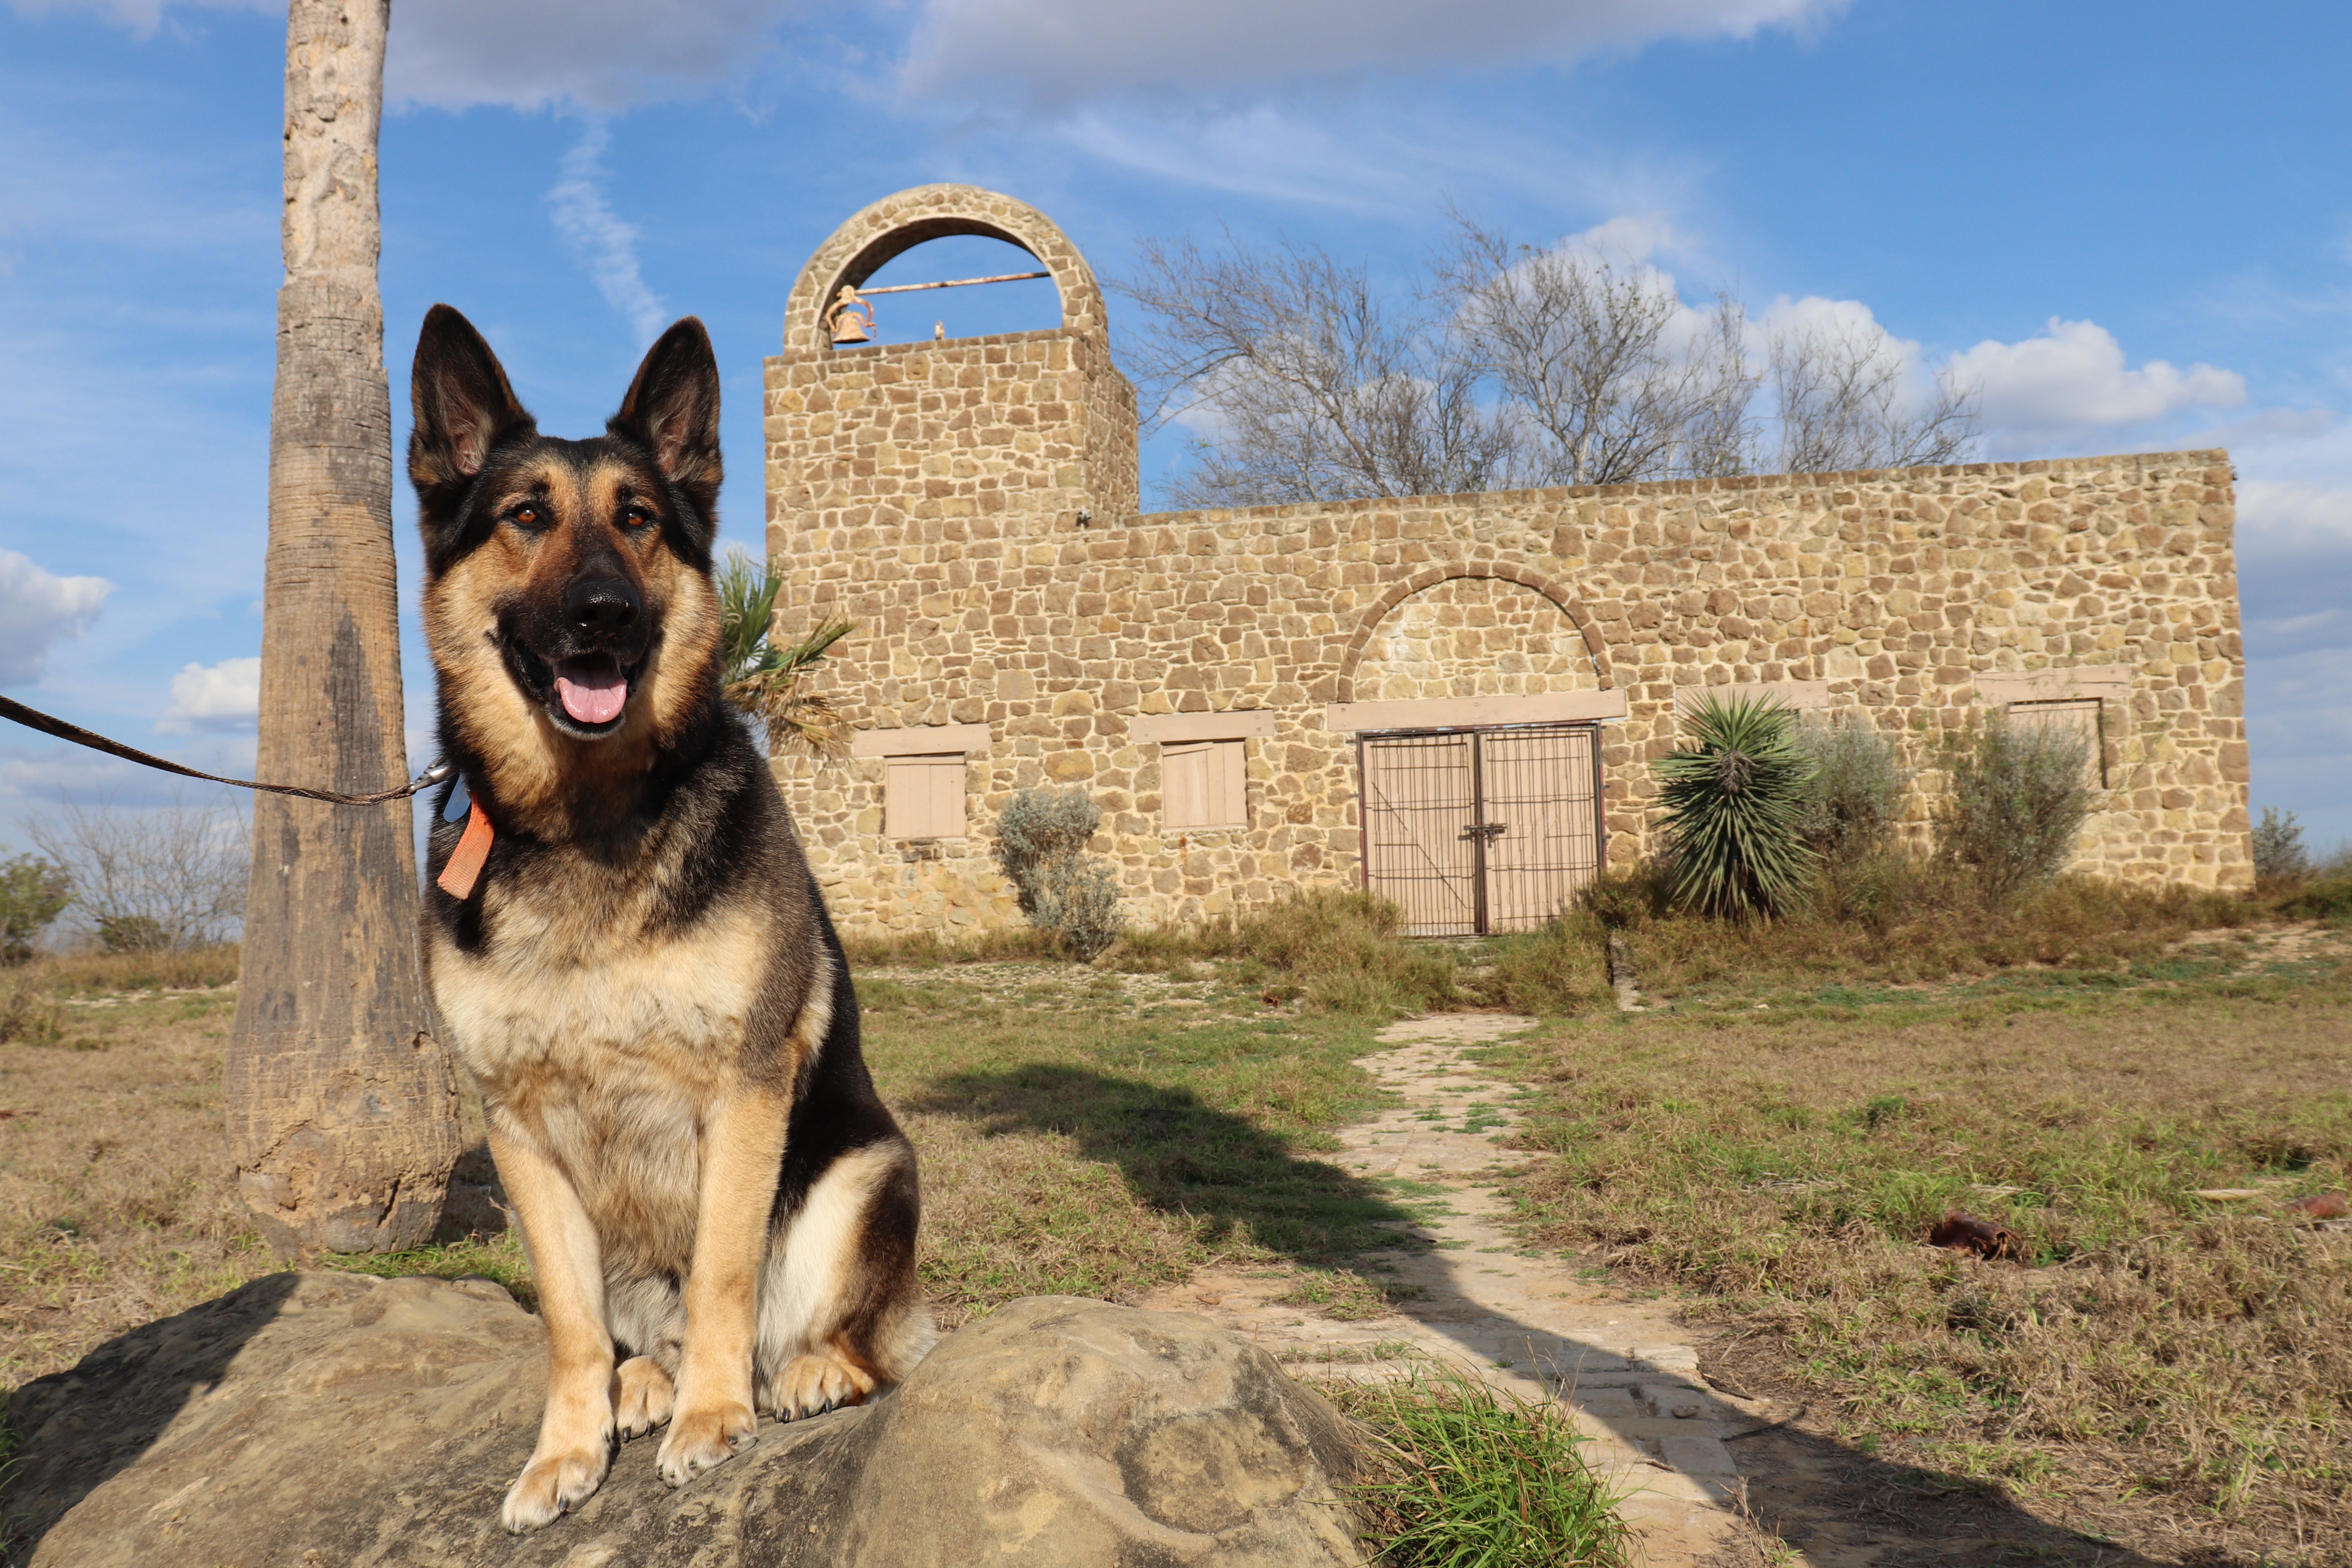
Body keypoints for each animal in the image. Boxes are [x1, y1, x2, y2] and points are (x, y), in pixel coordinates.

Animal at [409, 305, 931, 1533]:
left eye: (637, 519)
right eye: (525, 516)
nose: (603, 612)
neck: (588, 817)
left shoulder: (742, 1091)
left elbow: (727, 1268)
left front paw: (714, 1419)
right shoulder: (517, 1131)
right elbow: (566, 1323)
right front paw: (567, 1449)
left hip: (864, 1173)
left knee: (851, 1341)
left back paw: (795, 1373)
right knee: (639, 1325)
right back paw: (644, 1378)